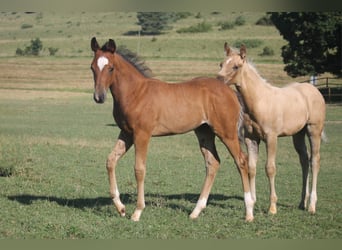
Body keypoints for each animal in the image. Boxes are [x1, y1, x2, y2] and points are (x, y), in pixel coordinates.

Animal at [89, 37, 255, 221]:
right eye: (92, 67)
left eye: (110, 68)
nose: (99, 97)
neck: (135, 93)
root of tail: (231, 92)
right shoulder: (126, 133)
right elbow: (111, 161)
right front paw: (121, 208)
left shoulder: (142, 134)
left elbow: (139, 169)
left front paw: (137, 211)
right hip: (204, 133)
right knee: (213, 162)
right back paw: (195, 211)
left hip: (227, 133)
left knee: (241, 161)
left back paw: (249, 212)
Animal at [218, 43, 328, 215]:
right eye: (221, 64)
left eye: (236, 66)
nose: (218, 80)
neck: (260, 100)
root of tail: (315, 90)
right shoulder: (251, 139)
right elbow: (251, 168)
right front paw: (252, 202)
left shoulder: (271, 138)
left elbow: (270, 168)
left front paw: (272, 207)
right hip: (298, 134)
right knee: (304, 161)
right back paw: (301, 203)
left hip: (313, 130)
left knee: (315, 161)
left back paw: (311, 205)